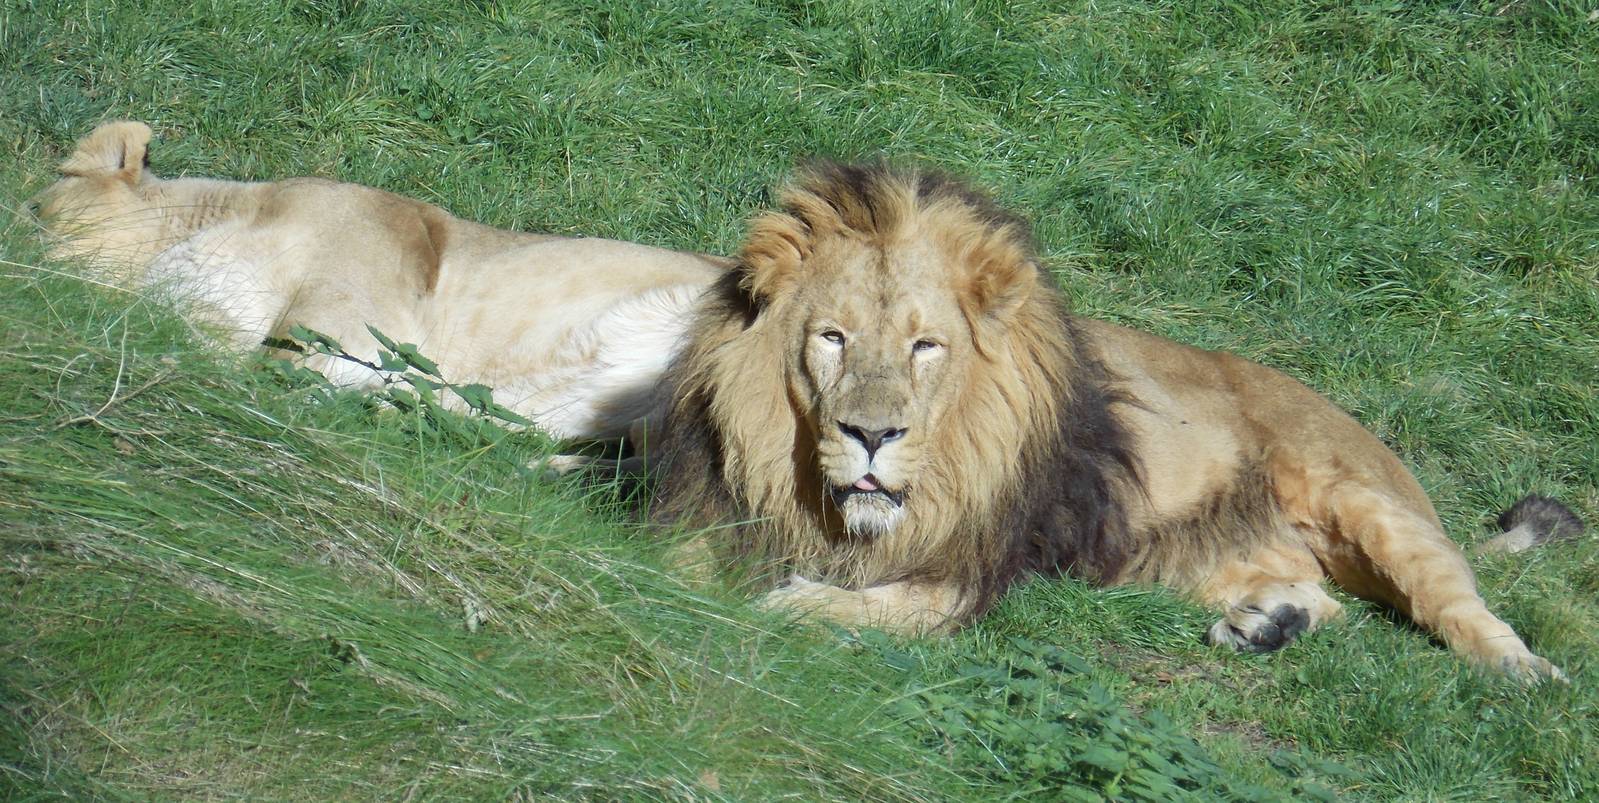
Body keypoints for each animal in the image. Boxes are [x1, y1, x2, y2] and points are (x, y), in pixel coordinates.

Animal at [647, 161, 1584, 681]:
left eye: (925, 346)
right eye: (832, 338)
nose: (871, 436)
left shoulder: (988, 564)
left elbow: (885, 610)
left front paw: (790, 603)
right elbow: (674, 562)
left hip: (1368, 501)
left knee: (1458, 599)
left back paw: (1524, 673)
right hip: (1188, 558)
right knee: (1330, 600)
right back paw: (1267, 623)